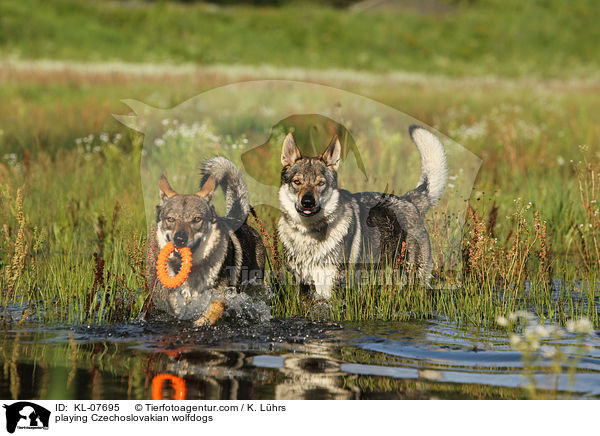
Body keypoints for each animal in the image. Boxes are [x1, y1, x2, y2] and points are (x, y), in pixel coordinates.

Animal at [155, 157, 264, 324]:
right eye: (171, 219)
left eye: (197, 219)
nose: (179, 239)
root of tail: (238, 220)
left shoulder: (222, 297)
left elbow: (209, 314)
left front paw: (200, 323)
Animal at [276, 124, 446, 298]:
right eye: (297, 182)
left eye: (320, 184)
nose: (307, 202)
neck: (308, 234)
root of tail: (409, 200)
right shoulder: (300, 285)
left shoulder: (328, 288)